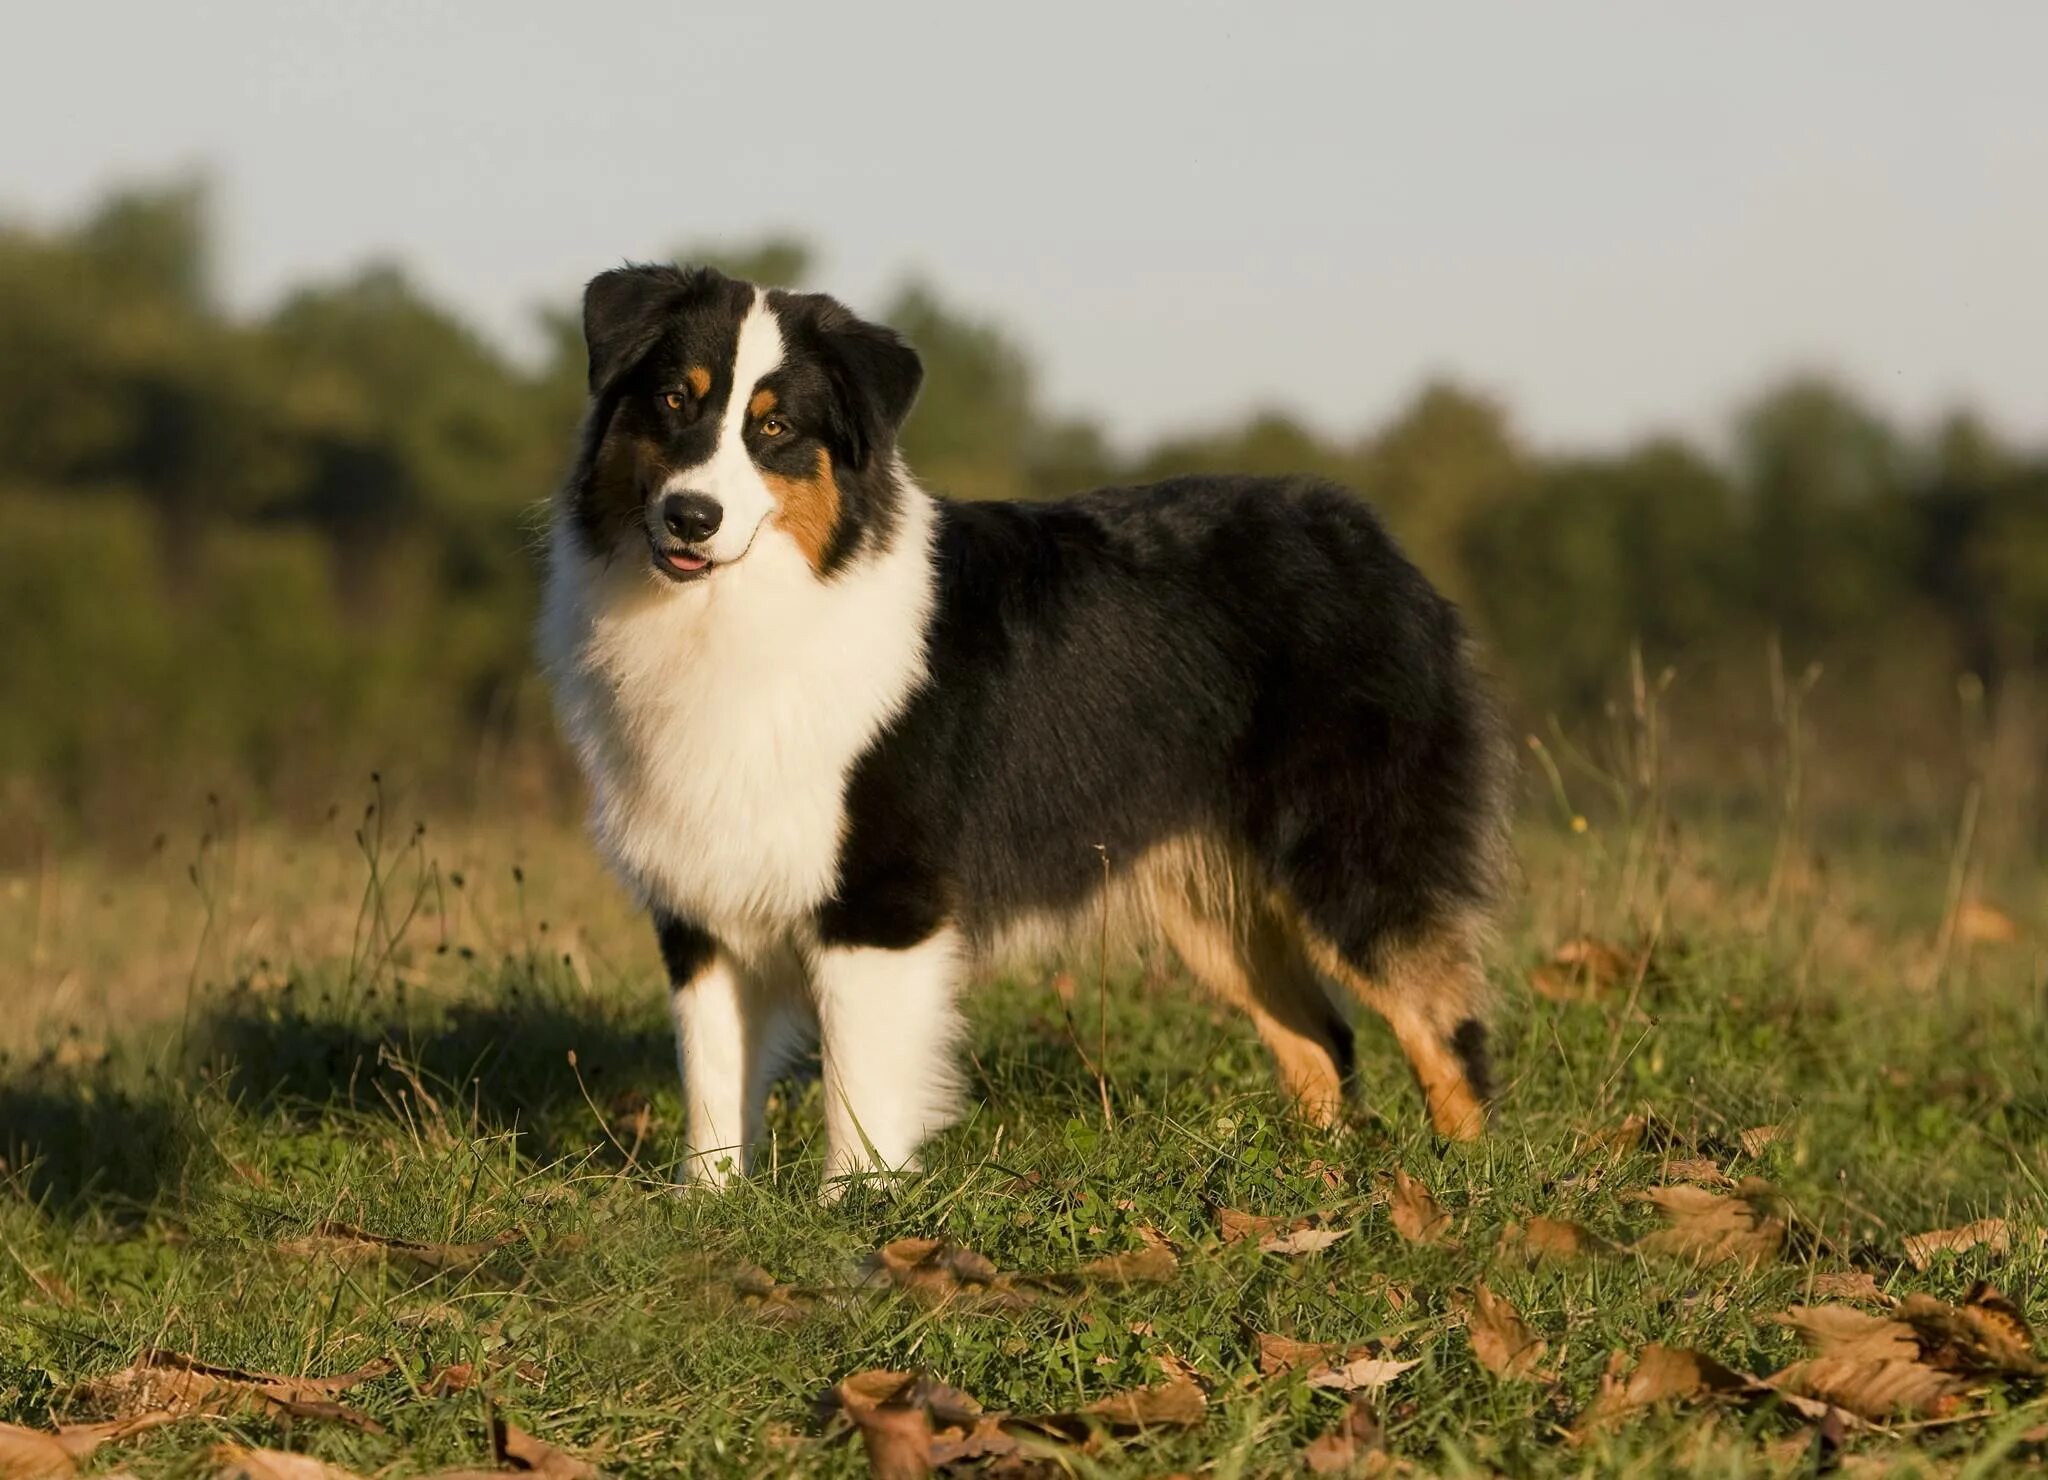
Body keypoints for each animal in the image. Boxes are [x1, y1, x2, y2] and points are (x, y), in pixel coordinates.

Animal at [536, 266, 1515, 1195]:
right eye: (674, 401)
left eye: (775, 428)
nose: (690, 516)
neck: (753, 610)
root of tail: (1369, 541)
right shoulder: (701, 901)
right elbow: (713, 1080)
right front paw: (707, 1207)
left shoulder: (882, 897)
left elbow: (861, 1085)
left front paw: (856, 1209)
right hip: (1212, 902)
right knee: (1324, 1041)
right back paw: (1314, 1180)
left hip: (1354, 862)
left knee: (1446, 1027)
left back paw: (1467, 1187)